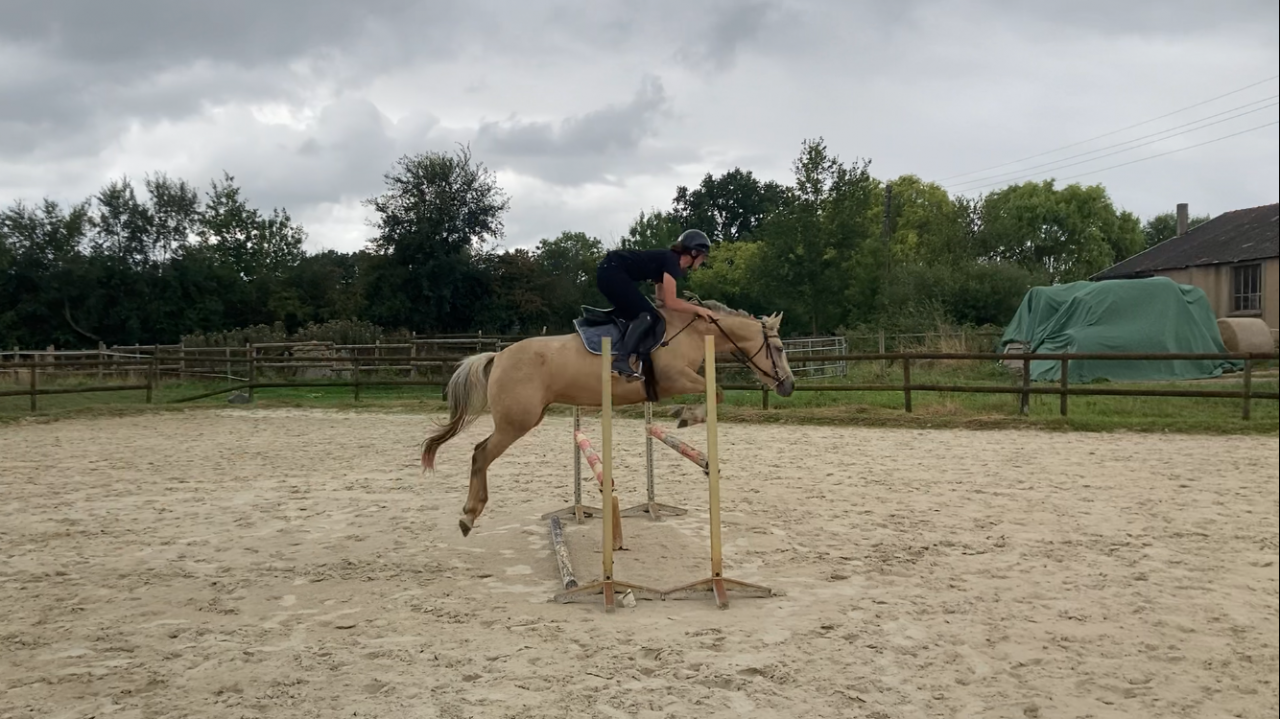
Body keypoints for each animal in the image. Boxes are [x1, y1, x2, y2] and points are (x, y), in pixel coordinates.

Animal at [420, 295, 797, 537]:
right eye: (779, 349)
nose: (789, 386)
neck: (689, 331)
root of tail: (497, 356)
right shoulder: (675, 378)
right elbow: (715, 390)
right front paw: (685, 416)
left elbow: (713, 391)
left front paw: (684, 420)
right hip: (517, 423)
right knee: (481, 454)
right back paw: (469, 516)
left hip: (527, 418)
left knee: (480, 452)